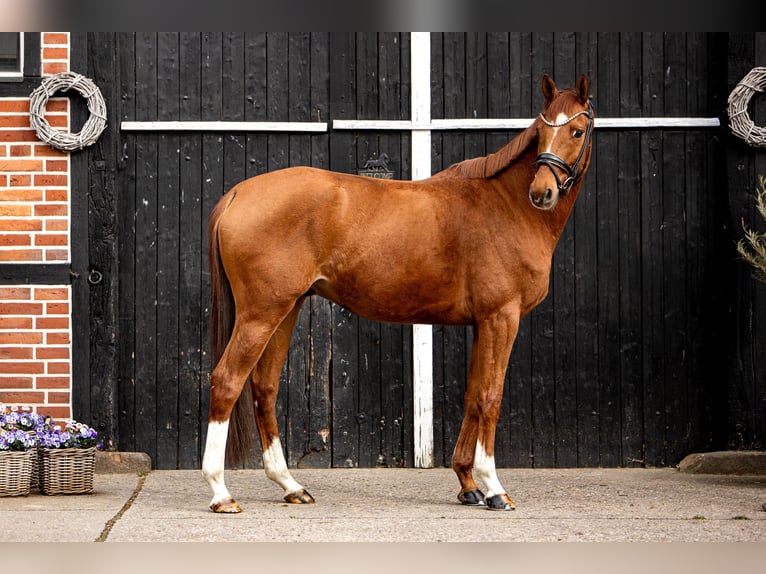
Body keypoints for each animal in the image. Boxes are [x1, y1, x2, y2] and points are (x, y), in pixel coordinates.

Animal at [202, 74, 594, 513]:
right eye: (542, 131)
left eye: (576, 131)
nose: (542, 192)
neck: (504, 205)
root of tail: (238, 194)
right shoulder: (501, 317)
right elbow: (491, 396)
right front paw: (494, 487)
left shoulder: (482, 323)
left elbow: (473, 396)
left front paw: (467, 484)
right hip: (261, 313)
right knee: (227, 381)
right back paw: (221, 493)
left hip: (285, 310)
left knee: (264, 387)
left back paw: (290, 485)